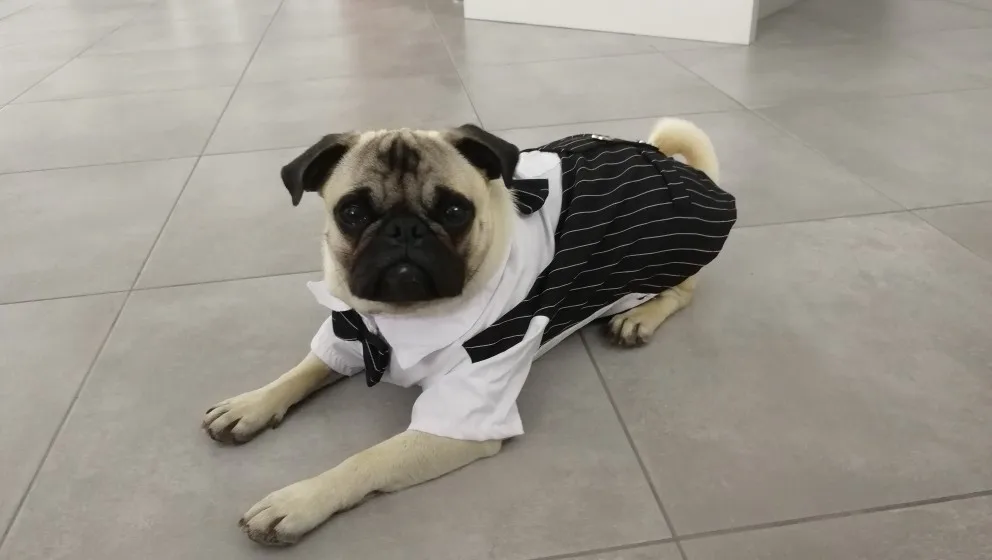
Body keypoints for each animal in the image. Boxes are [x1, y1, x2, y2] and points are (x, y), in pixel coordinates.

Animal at [202, 118, 736, 546]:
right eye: (352, 213)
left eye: (454, 211)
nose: (404, 230)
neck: (404, 316)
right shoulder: (347, 327)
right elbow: (303, 370)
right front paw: (251, 404)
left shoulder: (459, 419)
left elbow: (367, 460)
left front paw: (298, 500)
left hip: (663, 261)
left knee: (684, 292)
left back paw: (638, 319)